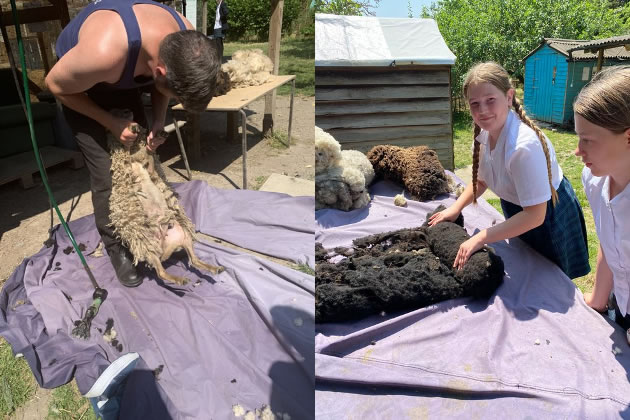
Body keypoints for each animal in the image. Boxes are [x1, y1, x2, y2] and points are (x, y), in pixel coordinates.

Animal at [108, 122, 225, 286]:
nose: (137, 127)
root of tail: (165, 250)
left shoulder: (147, 169)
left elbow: (147, 157)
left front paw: (152, 138)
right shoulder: (131, 173)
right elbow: (130, 157)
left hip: (185, 237)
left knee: (193, 260)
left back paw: (213, 269)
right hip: (150, 250)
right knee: (161, 273)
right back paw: (180, 279)